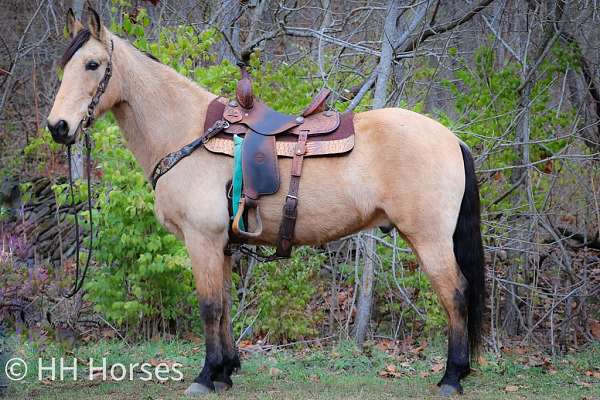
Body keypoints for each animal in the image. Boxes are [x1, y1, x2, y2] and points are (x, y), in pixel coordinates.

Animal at [49, 8, 486, 396]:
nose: (58, 127)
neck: (187, 134)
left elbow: (209, 307)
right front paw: (225, 372)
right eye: (64, 65)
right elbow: (225, 305)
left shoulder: (202, 240)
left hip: (429, 240)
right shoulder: (222, 245)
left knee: (456, 295)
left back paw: (452, 377)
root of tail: (451, 138)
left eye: (92, 64)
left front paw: (205, 376)